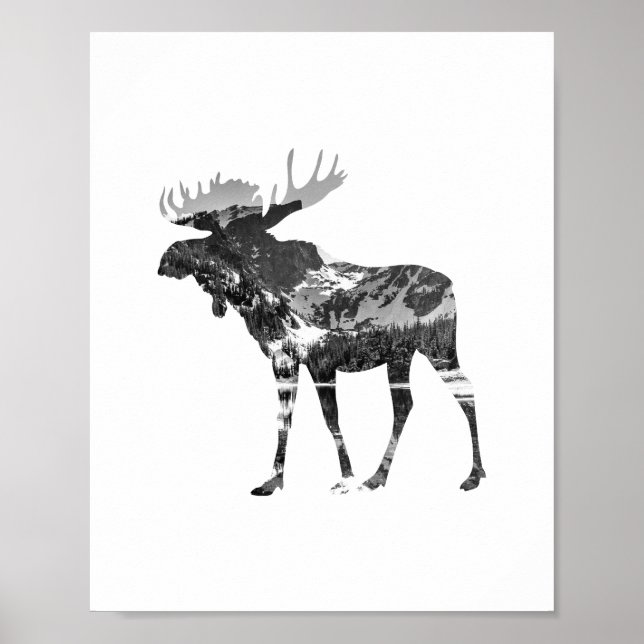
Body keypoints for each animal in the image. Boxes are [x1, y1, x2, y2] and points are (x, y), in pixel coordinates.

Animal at [158, 150, 486, 496]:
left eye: (222, 240)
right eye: (210, 234)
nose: (169, 258)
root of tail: (451, 285)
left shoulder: (322, 361)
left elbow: (331, 419)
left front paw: (346, 477)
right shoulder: (283, 361)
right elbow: (284, 420)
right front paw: (273, 480)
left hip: (439, 347)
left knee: (464, 390)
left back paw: (473, 474)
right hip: (401, 355)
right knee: (406, 405)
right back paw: (378, 476)